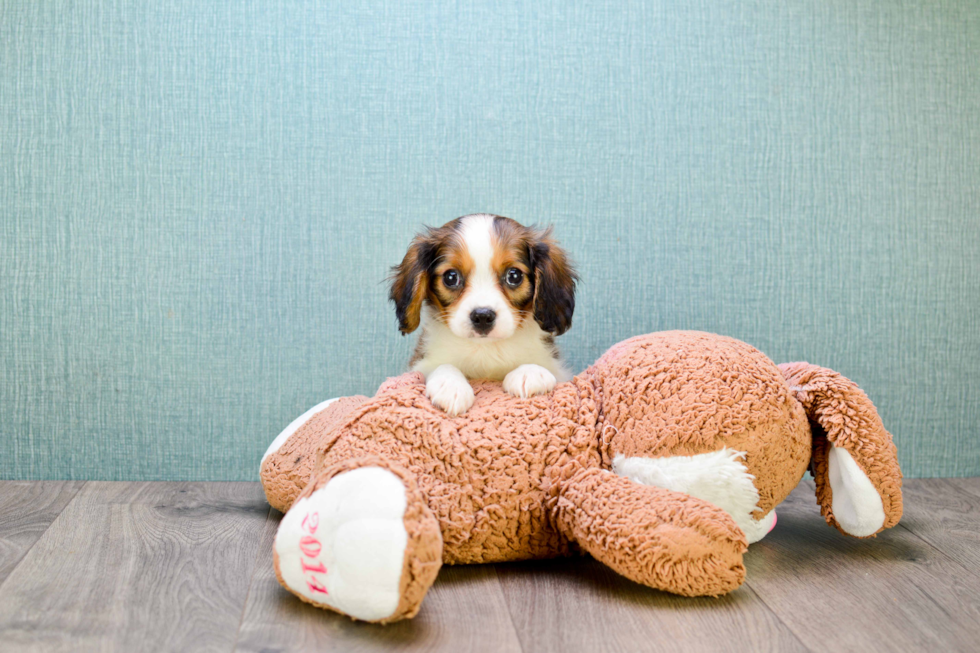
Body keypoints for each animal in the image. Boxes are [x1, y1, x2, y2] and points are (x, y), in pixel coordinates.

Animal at [388, 216, 580, 416]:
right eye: (450, 277)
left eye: (514, 276)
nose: (482, 316)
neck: (486, 348)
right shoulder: (421, 364)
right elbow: (441, 365)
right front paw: (451, 386)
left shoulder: (558, 369)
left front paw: (530, 372)